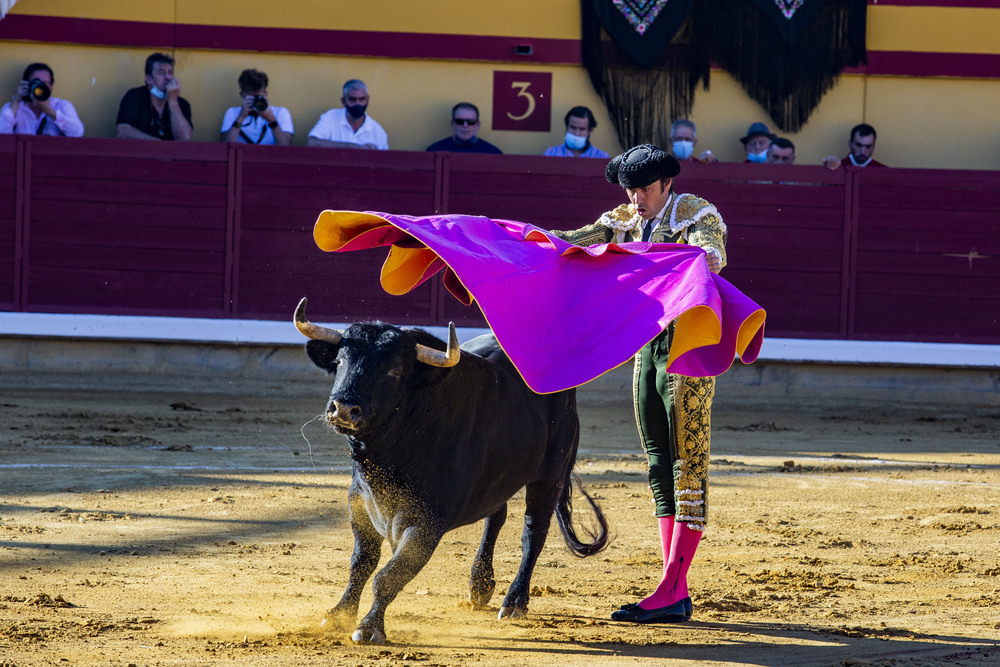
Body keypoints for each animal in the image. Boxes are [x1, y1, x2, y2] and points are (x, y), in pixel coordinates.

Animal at [294, 298, 608, 648]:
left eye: (394, 371)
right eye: (339, 362)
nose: (344, 409)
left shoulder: (427, 522)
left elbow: (389, 574)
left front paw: (370, 627)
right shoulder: (360, 505)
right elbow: (361, 564)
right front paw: (338, 615)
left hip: (549, 476)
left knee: (533, 533)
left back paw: (514, 603)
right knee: (496, 517)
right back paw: (479, 587)